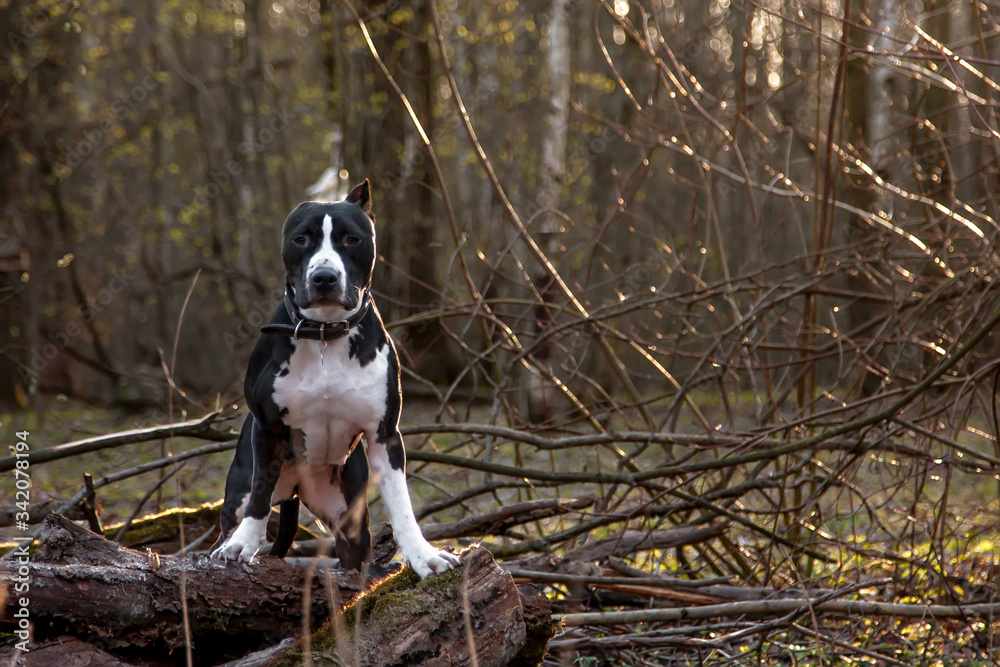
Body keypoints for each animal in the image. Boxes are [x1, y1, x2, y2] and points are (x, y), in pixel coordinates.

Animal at [213, 179, 462, 580]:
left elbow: (401, 503)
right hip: (239, 489)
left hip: (349, 519)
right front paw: (243, 543)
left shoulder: (384, 436)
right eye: (301, 240)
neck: (325, 334)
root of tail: (298, 486)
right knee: (240, 511)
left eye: (351, 239)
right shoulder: (267, 430)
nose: (324, 277)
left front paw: (423, 555)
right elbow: (261, 495)